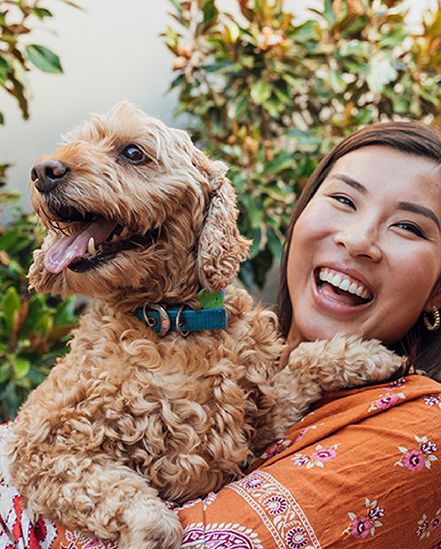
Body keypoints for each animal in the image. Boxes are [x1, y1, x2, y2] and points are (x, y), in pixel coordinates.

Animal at [1, 104, 404, 548]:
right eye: (73, 144)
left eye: (133, 152)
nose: (43, 171)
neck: (172, 321)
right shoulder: (38, 441)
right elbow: (125, 499)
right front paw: (150, 529)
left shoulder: (259, 421)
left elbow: (301, 361)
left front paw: (369, 356)